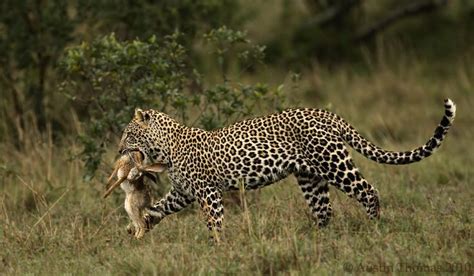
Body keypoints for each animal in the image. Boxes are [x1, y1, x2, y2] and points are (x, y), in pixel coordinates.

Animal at [117, 98, 456, 239]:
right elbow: (162, 206)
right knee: (324, 211)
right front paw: (144, 221)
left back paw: (375, 229)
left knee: (369, 191)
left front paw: (217, 247)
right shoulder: (184, 192)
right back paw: (316, 242)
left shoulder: (207, 192)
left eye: (128, 134)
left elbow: (215, 222)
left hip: (335, 164)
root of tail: (327, 114)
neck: (165, 148)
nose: (119, 150)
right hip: (310, 178)